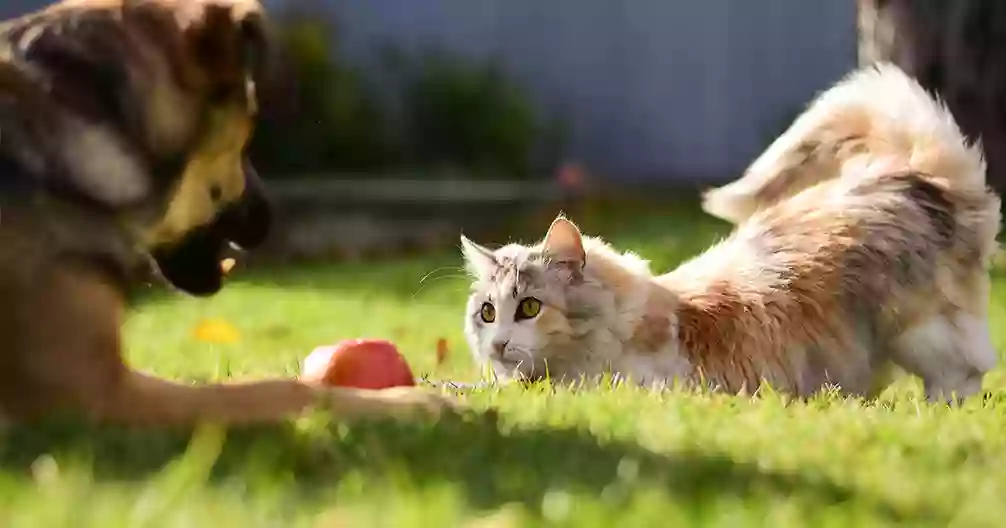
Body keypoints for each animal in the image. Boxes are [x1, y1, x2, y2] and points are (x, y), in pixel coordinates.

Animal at [460, 62, 1001, 400]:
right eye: (487, 313)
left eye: (530, 308)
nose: (498, 344)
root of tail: (910, 174)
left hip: (918, 330)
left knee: (965, 374)